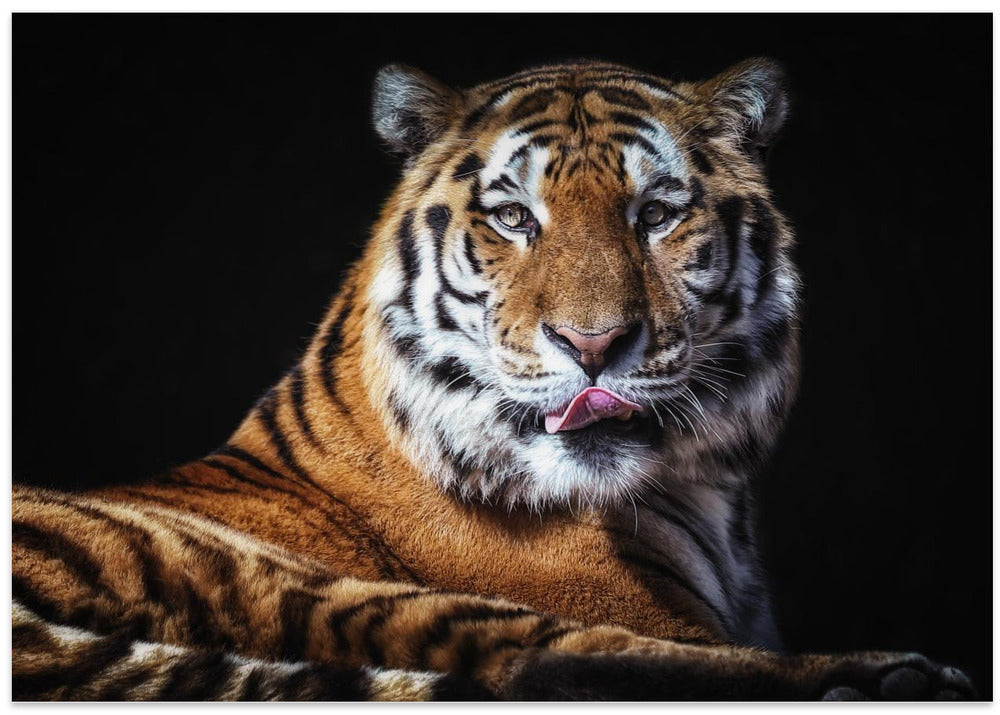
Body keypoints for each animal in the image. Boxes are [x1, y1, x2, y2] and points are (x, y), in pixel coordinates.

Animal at [12, 58, 977, 701]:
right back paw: (898, 676)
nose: (594, 344)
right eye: (514, 217)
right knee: (539, 656)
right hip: (247, 567)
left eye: (657, 214)